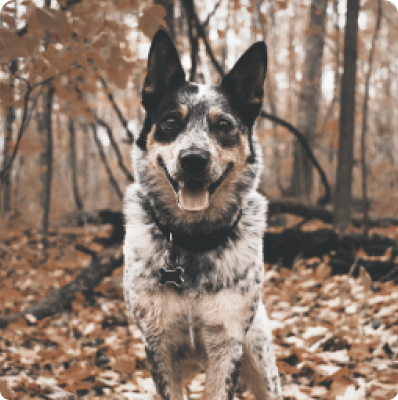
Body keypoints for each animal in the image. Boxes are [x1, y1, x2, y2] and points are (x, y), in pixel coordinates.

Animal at [123, 28, 282, 400]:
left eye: (223, 125)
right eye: (170, 122)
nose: (193, 159)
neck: (192, 238)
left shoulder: (227, 344)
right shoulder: (159, 344)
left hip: (260, 359)